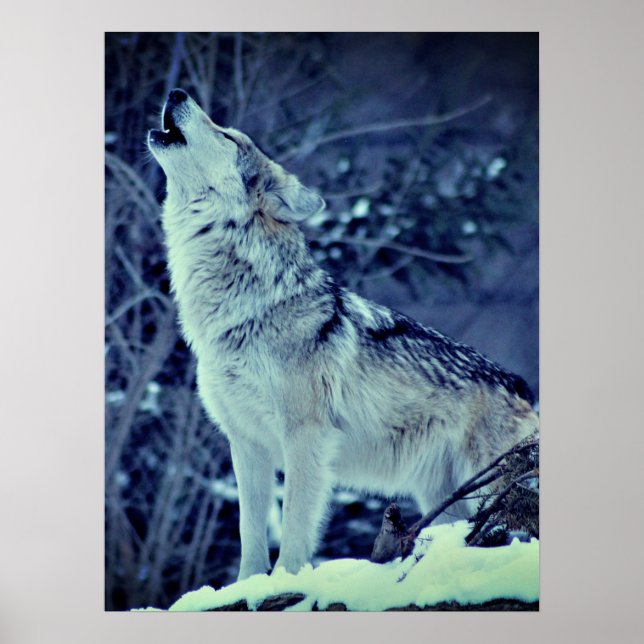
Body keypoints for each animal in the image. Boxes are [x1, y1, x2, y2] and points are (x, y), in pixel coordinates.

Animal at [148, 89, 539, 580]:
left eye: (227, 135)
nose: (176, 92)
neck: (246, 309)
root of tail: (521, 385)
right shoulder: (247, 443)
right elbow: (249, 532)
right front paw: (246, 586)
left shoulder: (305, 437)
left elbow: (294, 526)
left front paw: (285, 581)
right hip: (446, 500)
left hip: (488, 490)